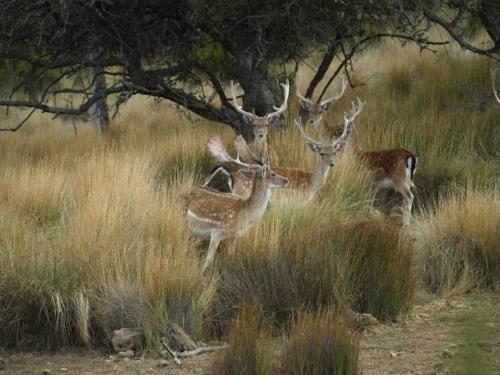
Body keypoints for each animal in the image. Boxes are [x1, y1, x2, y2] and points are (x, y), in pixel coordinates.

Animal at [184, 135, 288, 274]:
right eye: (273, 173)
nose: (286, 180)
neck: (244, 214)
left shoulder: (235, 237)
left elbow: (231, 256)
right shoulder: (217, 232)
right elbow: (208, 260)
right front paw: (201, 274)